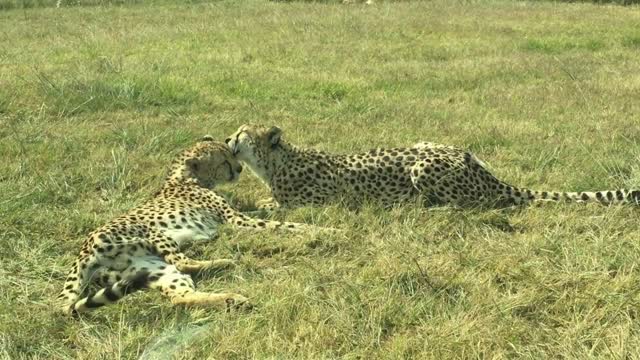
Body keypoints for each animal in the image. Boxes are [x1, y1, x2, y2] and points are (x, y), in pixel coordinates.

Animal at [58, 135, 318, 316]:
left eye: (232, 155)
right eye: (224, 162)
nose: (239, 169)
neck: (183, 177)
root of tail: (83, 251)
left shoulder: (237, 215)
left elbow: (268, 212)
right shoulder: (236, 220)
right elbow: (281, 224)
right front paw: (321, 230)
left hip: (148, 270)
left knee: (180, 296)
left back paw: (231, 298)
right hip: (151, 233)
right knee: (183, 261)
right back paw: (226, 262)